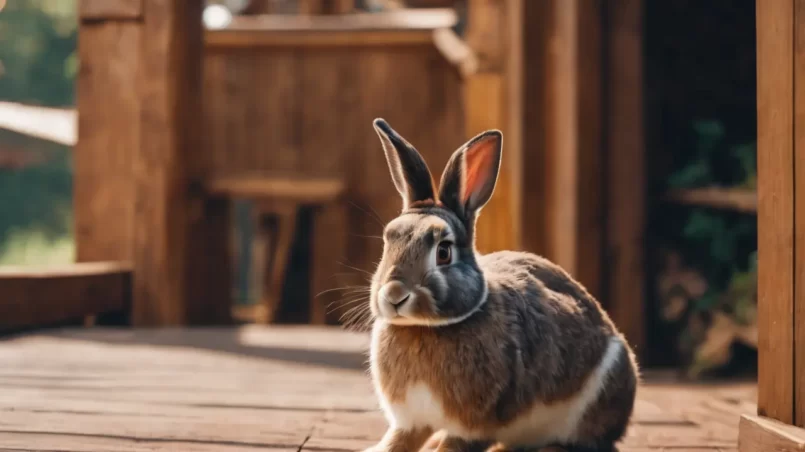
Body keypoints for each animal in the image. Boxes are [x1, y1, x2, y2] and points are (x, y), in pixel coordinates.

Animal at [362, 117, 636, 452]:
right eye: (388, 240)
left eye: (443, 252)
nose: (395, 294)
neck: (424, 327)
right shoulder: (411, 421)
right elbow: (399, 440)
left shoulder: (474, 427)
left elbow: (454, 445)